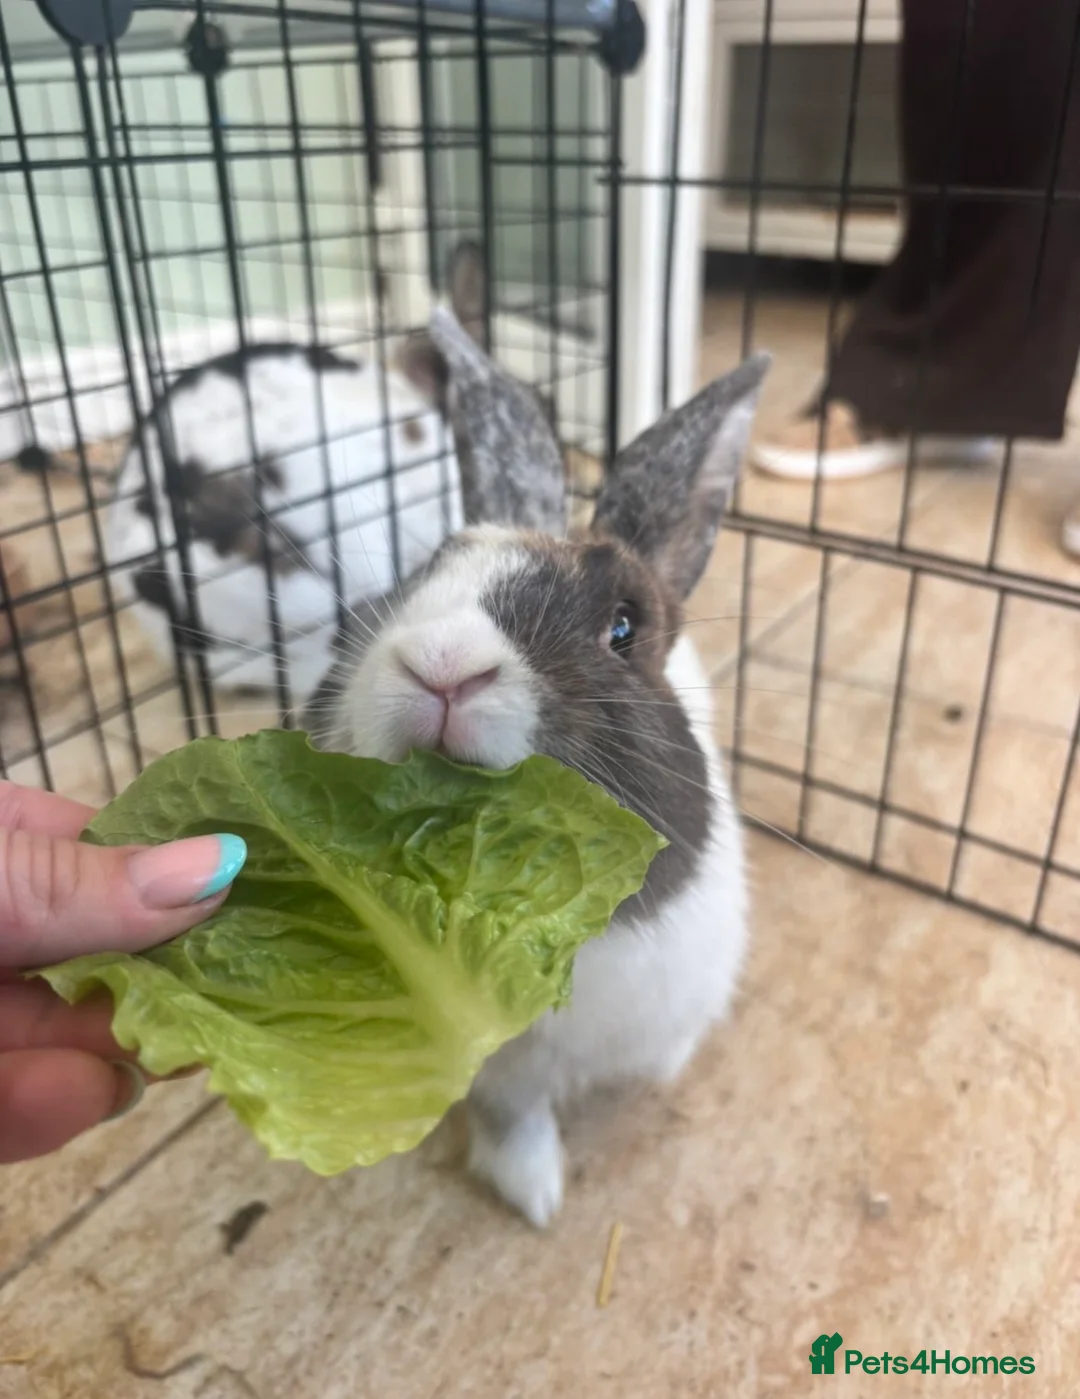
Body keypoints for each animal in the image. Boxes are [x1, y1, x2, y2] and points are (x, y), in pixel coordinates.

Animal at [307, 305, 770, 1228]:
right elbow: (512, 1120)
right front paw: (534, 1196)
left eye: (624, 626)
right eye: (421, 579)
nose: (442, 663)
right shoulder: (500, 1072)